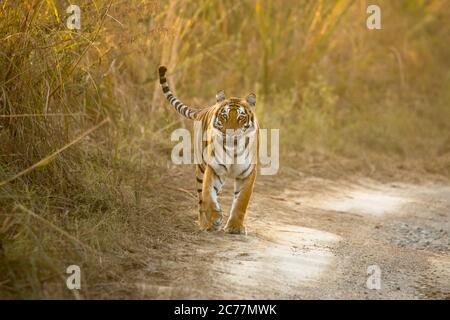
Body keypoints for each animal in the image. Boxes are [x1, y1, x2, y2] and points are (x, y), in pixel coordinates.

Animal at [158, 65, 258, 235]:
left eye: (241, 118)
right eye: (224, 116)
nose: (229, 133)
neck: (233, 149)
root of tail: (204, 109)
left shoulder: (247, 174)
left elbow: (241, 202)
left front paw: (235, 227)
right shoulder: (214, 168)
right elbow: (208, 194)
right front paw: (215, 217)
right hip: (200, 167)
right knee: (200, 198)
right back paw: (206, 224)